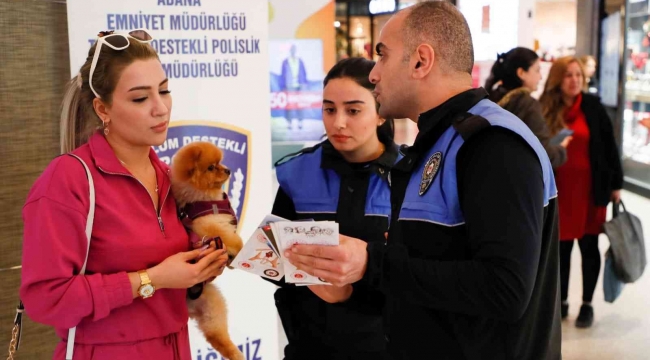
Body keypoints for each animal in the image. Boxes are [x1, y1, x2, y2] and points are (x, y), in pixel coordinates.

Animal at [170, 141, 243, 360]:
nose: (227, 170)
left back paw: (236, 354)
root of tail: (189, 306)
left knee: (217, 336)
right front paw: (241, 250)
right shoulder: (210, 226)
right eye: (211, 168)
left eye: (220, 163)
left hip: (212, 307)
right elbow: (234, 240)